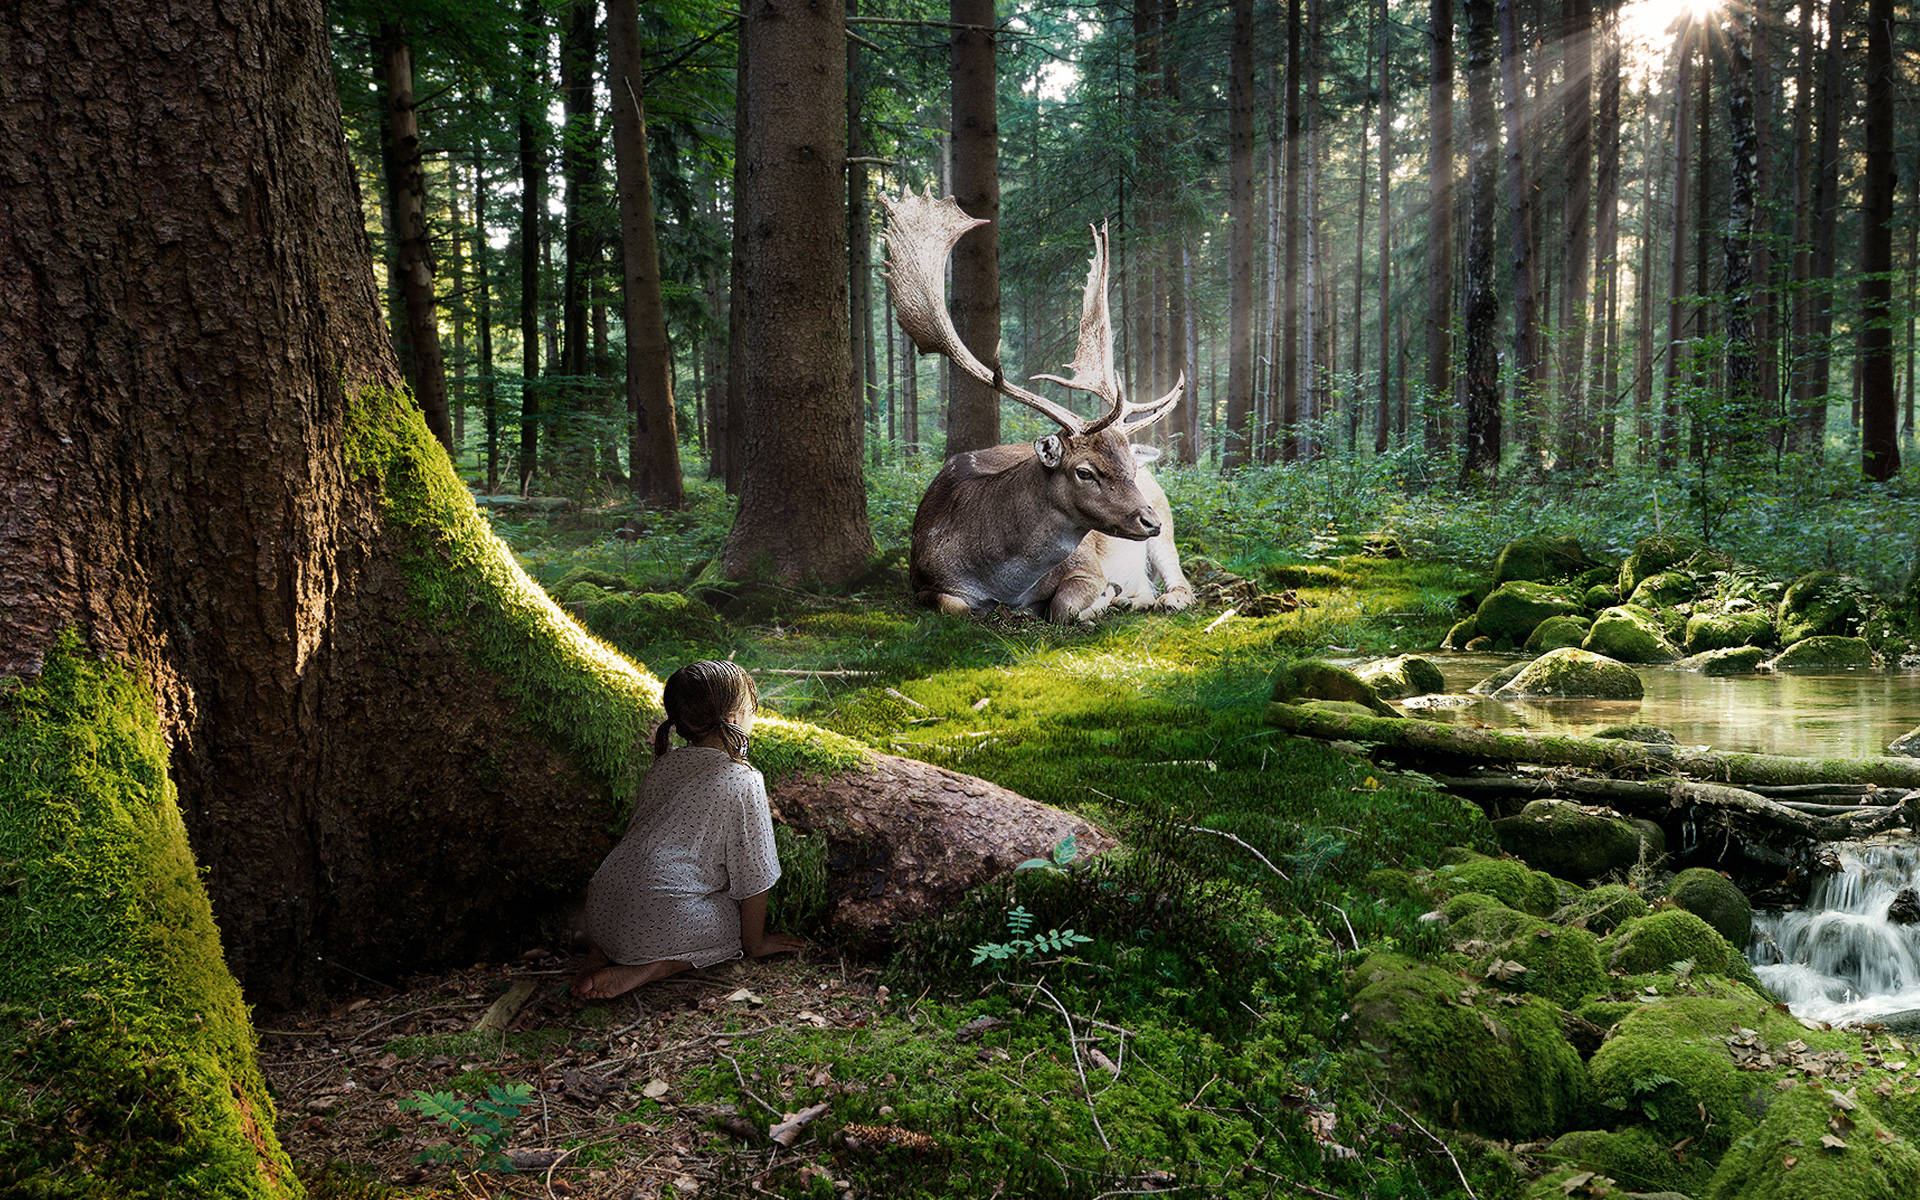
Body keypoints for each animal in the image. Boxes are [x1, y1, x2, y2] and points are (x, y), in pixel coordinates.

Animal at [880, 186, 1194, 623]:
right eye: (1085, 472)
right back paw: (1133, 597)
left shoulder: (1087, 565)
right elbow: (954, 606)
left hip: (1166, 521)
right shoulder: (923, 579)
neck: (1001, 581)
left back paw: (1155, 597)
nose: (1147, 520)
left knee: (1181, 582)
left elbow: (1063, 607)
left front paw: (1101, 598)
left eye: (1130, 468)